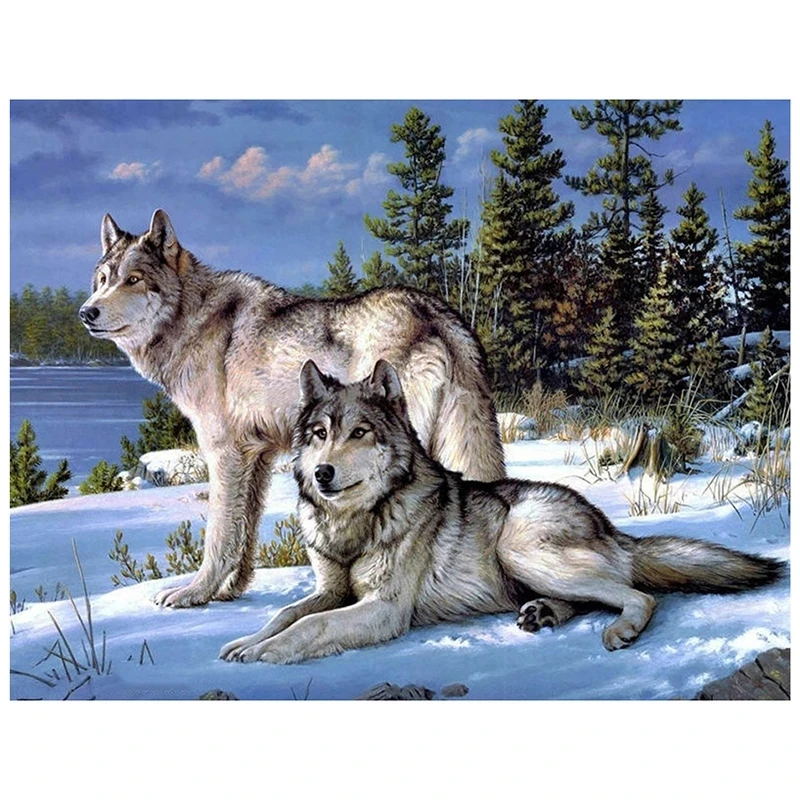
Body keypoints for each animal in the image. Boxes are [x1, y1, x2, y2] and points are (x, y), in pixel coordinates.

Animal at [79, 210, 505, 608]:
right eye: (101, 280)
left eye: (133, 280)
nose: (87, 312)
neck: (192, 319)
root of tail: (437, 312)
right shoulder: (257, 456)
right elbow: (244, 532)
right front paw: (229, 591)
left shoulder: (224, 454)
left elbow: (218, 535)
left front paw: (194, 593)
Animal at [219, 360, 785, 663]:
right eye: (319, 434)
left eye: (359, 432)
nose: (322, 474)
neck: (355, 524)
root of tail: (607, 524)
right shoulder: (331, 591)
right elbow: (286, 614)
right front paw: (245, 641)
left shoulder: (384, 609)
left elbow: (310, 627)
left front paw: (264, 652)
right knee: (593, 597)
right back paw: (543, 614)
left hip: (520, 548)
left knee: (639, 595)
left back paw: (618, 630)